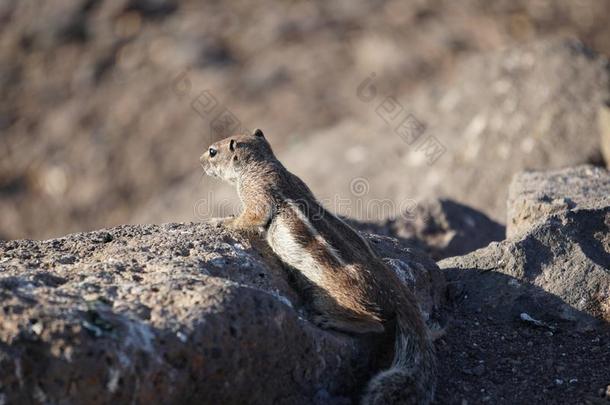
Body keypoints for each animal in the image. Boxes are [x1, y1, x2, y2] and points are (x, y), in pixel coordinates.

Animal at [202, 128, 434, 402]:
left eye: (212, 151)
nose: (201, 162)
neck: (262, 163)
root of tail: (397, 291)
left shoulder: (257, 194)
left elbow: (252, 216)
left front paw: (221, 221)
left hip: (330, 295)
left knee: (374, 324)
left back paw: (330, 321)